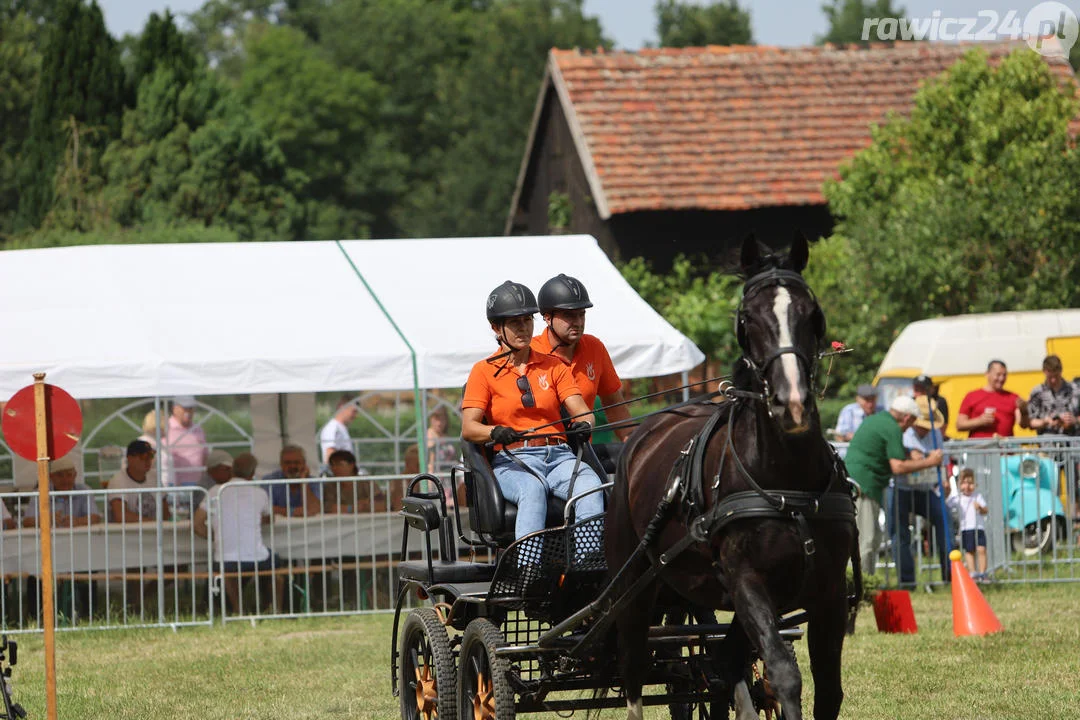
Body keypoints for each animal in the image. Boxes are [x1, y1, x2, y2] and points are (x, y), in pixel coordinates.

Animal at [609, 232, 859, 720]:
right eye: (748, 318)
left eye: (812, 312)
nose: (792, 402)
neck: (788, 484)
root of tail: (643, 432)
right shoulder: (747, 582)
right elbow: (783, 673)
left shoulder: (829, 590)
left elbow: (829, 690)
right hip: (632, 586)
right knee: (632, 668)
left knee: (720, 664)